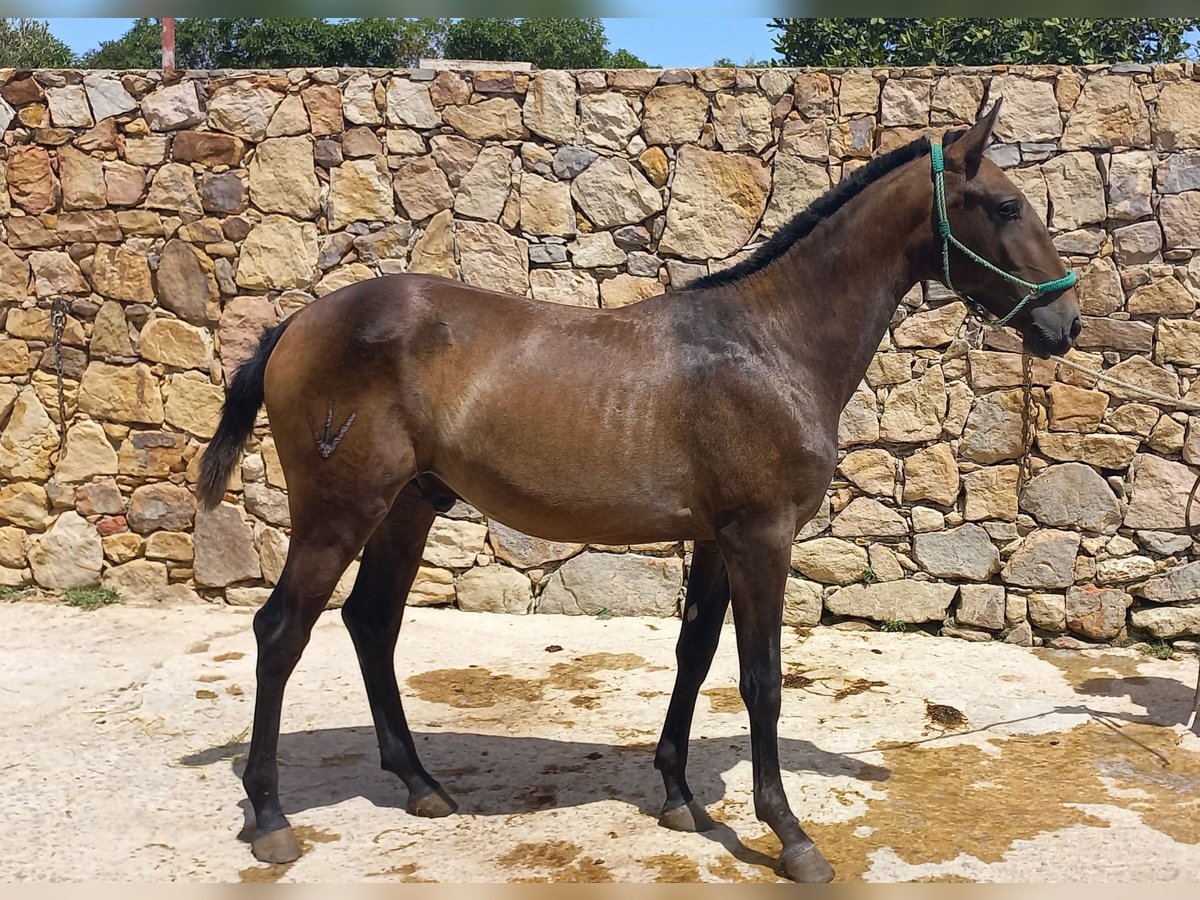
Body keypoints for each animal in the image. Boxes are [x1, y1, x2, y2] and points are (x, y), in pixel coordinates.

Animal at [194, 102, 1080, 883]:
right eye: (1007, 204)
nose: (1066, 323)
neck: (771, 342)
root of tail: (297, 321)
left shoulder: (718, 538)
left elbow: (695, 656)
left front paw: (680, 796)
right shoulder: (762, 536)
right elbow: (761, 678)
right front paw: (790, 836)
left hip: (409, 505)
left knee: (372, 624)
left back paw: (420, 785)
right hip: (338, 513)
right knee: (281, 632)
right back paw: (270, 818)